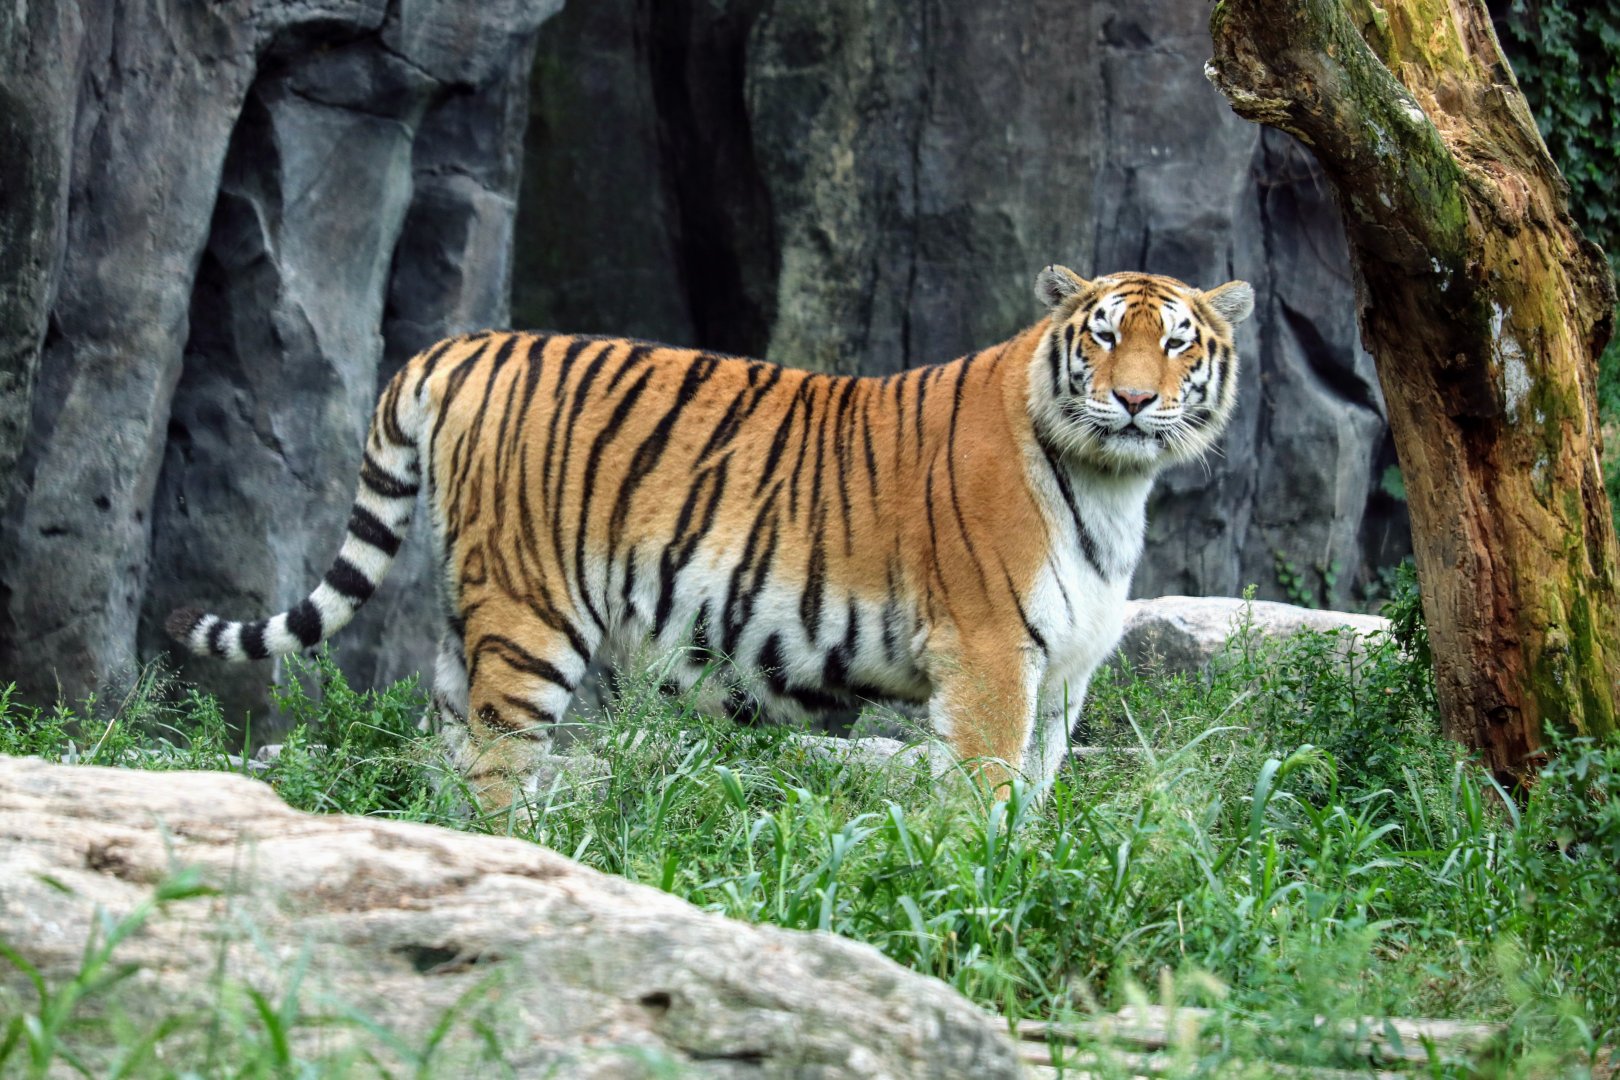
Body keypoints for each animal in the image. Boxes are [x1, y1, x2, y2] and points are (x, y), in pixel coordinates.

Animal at [168, 265, 1253, 809]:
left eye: (1178, 342)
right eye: (1104, 335)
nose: (1134, 400)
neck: (1111, 481)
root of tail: (464, 344)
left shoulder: (1061, 673)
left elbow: (1035, 795)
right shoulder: (987, 658)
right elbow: (986, 796)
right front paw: (981, 893)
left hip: (461, 615)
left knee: (448, 747)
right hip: (530, 617)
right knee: (497, 766)